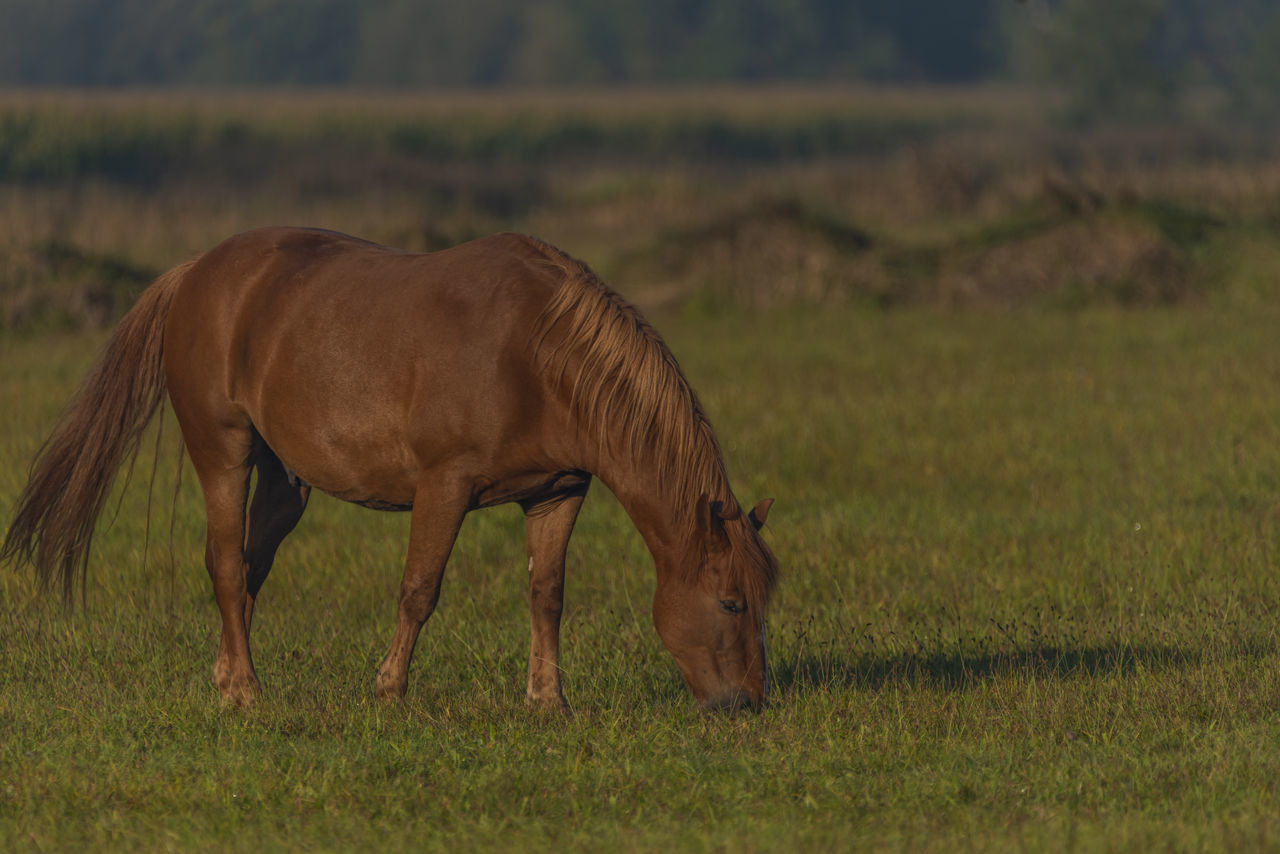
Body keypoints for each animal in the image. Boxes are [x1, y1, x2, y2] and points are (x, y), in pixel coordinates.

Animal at [2, 229, 778, 717]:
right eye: (731, 603)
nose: (745, 704)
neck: (539, 352)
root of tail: (195, 272)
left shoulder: (558, 494)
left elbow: (547, 596)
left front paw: (548, 700)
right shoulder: (445, 485)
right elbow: (419, 592)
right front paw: (388, 690)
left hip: (286, 482)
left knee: (247, 569)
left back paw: (226, 678)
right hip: (223, 451)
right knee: (225, 563)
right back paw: (247, 692)